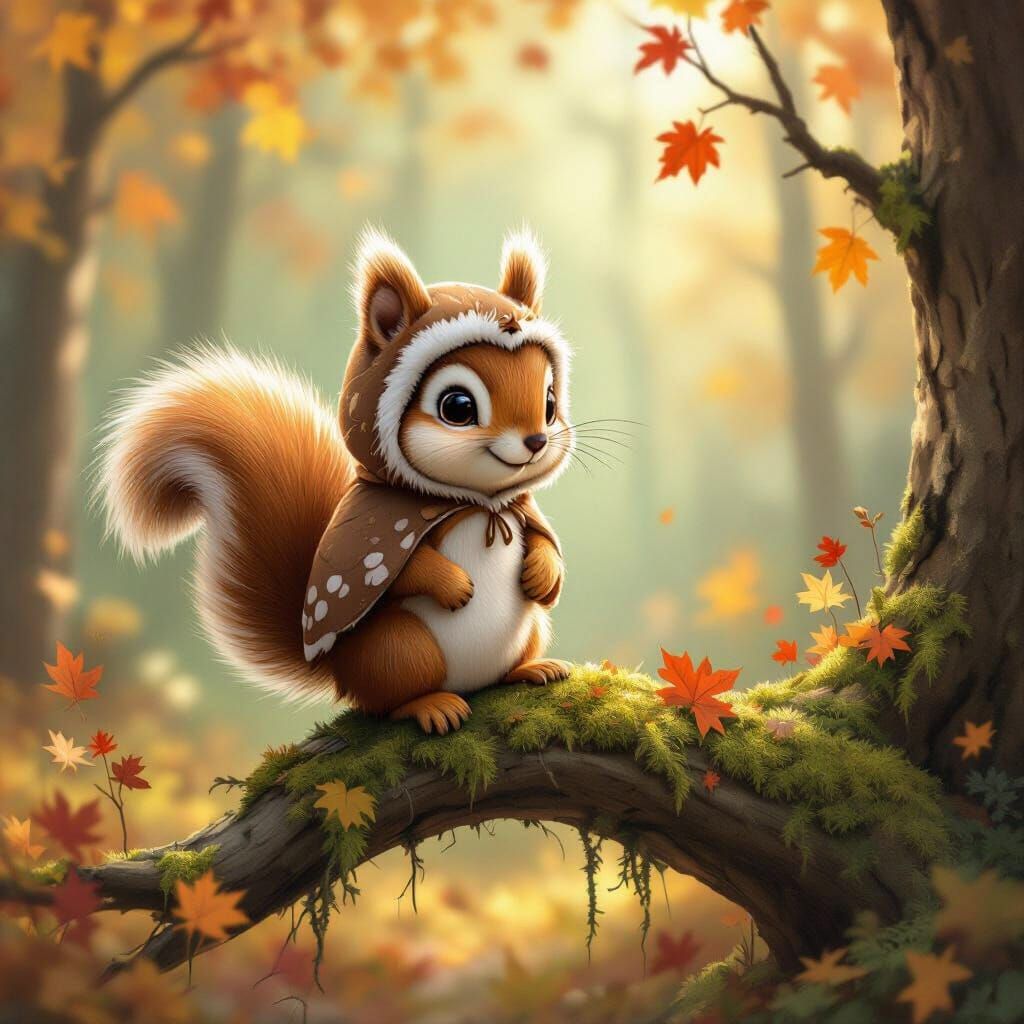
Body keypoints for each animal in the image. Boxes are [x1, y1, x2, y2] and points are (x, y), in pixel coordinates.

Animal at [99, 228, 575, 735]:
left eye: (549, 402)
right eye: (458, 407)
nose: (536, 440)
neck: (475, 503)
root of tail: (337, 671)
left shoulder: (522, 510)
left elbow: (543, 542)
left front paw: (542, 573)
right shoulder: (371, 545)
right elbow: (404, 574)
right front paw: (452, 584)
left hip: (530, 629)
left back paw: (532, 669)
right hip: (398, 648)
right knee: (389, 700)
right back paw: (431, 705)